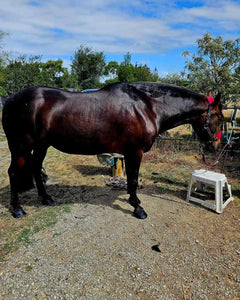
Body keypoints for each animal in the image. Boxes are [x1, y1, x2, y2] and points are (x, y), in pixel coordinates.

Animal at [2, 82, 223, 218]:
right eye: (219, 117)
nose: (215, 145)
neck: (147, 107)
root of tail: (10, 100)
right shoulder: (135, 152)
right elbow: (133, 180)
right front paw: (138, 208)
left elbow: (132, 180)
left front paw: (135, 200)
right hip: (20, 147)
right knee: (13, 173)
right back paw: (17, 209)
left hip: (41, 145)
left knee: (35, 167)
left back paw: (45, 198)